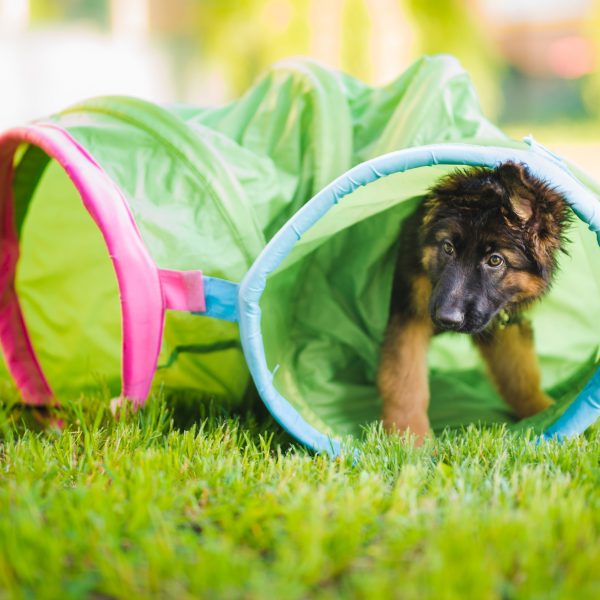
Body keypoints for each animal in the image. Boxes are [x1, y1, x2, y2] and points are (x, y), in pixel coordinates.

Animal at [380, 162, 572, 442]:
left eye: (495, 260)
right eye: (448, 248)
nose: (447, 319)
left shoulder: (503, 323)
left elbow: (519, 375)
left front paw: (545, 412)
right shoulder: (409, 314)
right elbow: (405, 382)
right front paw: (410, 440)